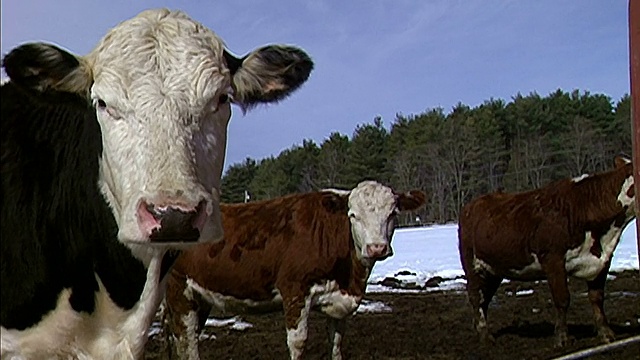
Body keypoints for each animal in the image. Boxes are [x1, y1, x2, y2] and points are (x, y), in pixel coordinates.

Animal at [162, 181, 428, 360]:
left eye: (393, 214)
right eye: (353, 215)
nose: (377, 247)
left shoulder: (338, 302)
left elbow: (336, 343)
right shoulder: (294, 290)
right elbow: (298, 343)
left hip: (199, 297)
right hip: (179, 289)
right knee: (186, 340)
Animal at [460, 155, 636, 346]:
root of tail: (472, 205)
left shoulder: (602, 261)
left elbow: (597, 298)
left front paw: (606, 333)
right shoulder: (553, 259)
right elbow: (562, 299)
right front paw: (562, 337)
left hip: (494, 270)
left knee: (485, 299)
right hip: (473, 265)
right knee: (476, 297)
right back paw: (485, 335)